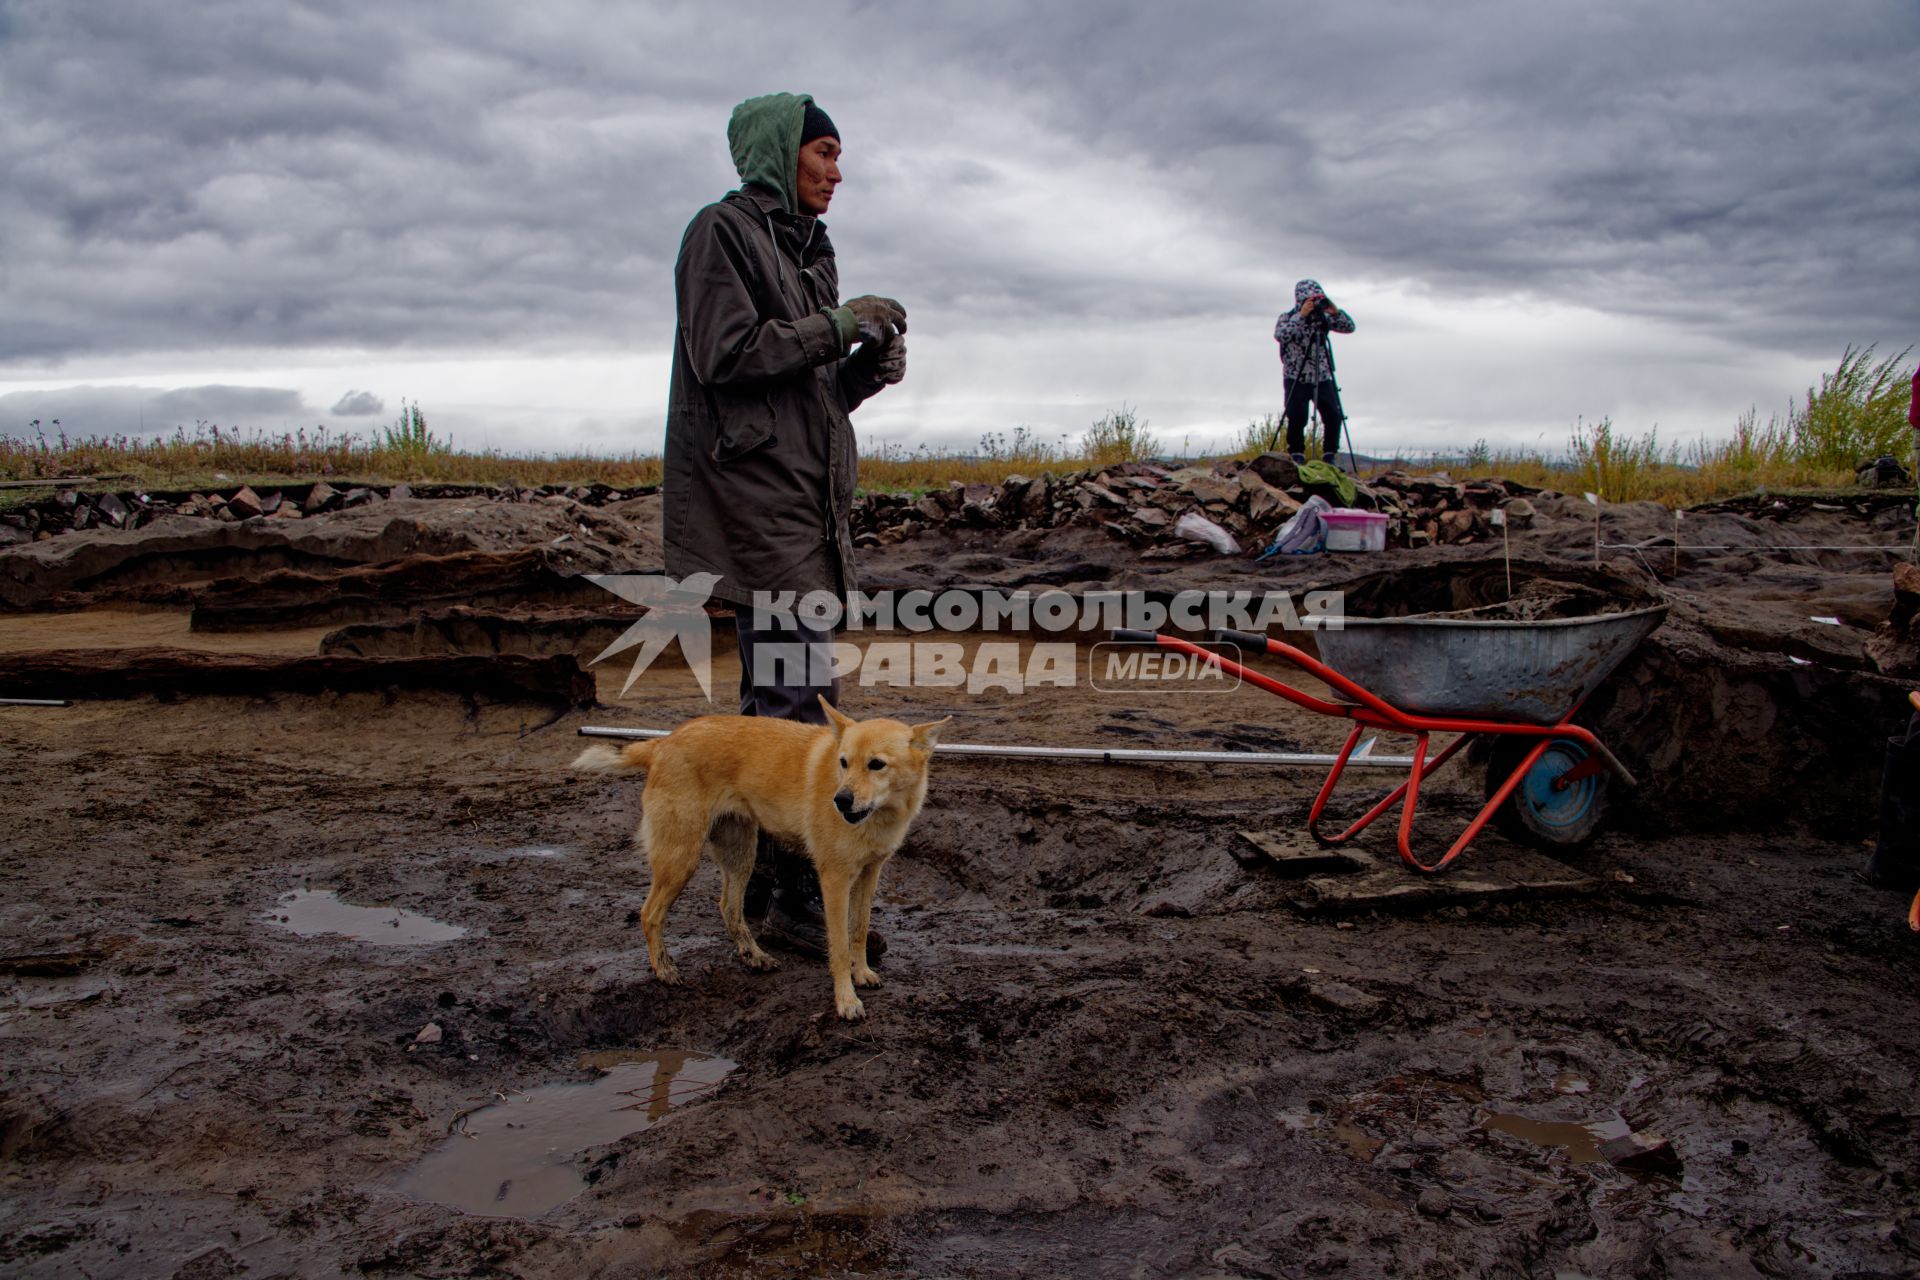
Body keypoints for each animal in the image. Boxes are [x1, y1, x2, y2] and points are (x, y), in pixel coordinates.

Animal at [576, 702, 952, 1020]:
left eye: (876, 764)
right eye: (843, 762)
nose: (840, 800)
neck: (880, 814)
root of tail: (664, 742)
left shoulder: (869, 874)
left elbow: (857, 931)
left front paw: (862, 973)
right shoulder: (834, 878)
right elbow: (840, 946)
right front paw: (846, 1000)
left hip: (740, 855)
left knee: (728, 906)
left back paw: (753, 955)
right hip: (681, 859)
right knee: (649, 914)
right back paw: (664, 968)